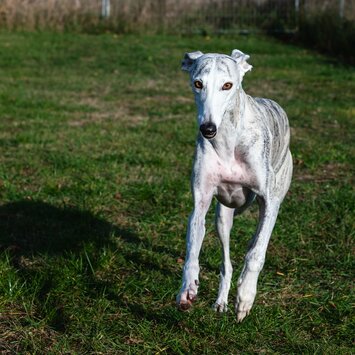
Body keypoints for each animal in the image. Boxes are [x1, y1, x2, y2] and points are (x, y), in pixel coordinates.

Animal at [177, 49, 294, 322]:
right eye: (198, 84)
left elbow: (257, 253)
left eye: (227, 85)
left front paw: (246, 297)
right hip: (223, 215)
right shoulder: (200, 201)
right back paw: (221, 300)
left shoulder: (270, 201)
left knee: (254, 241)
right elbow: (193, 248)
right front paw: (187, 288)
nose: (208, 129)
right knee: (226, 262)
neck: (228, 139)